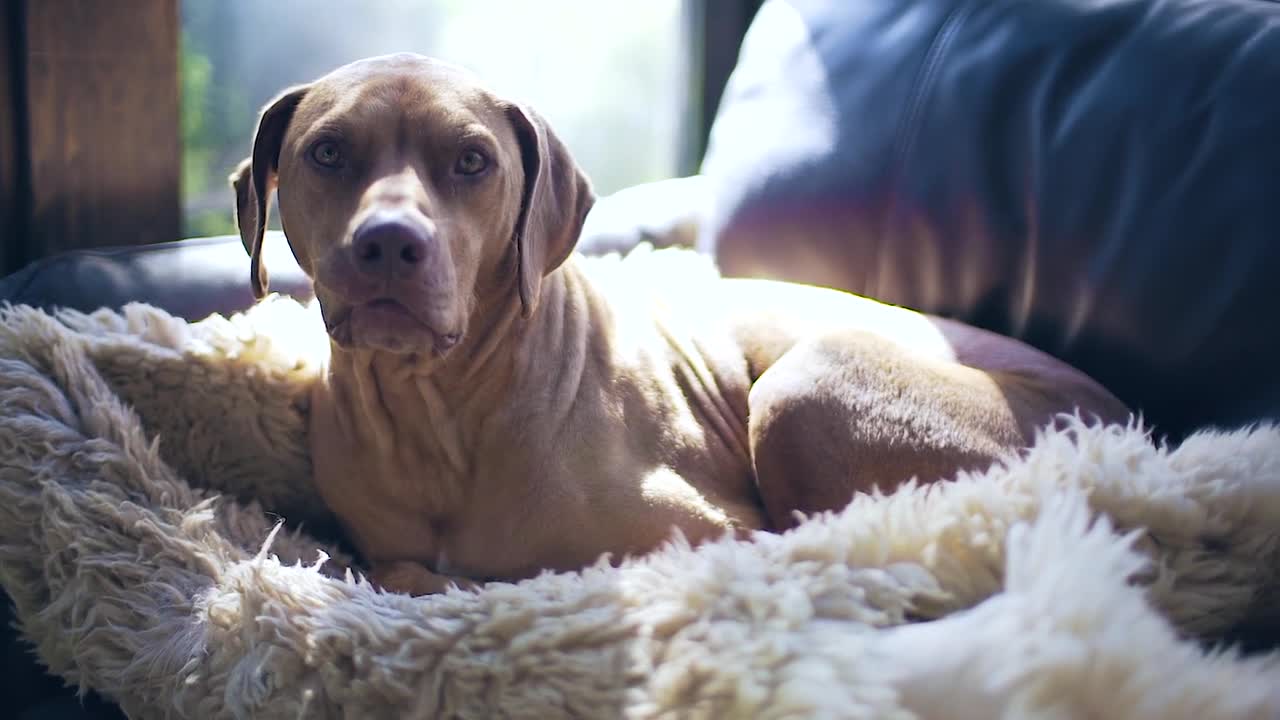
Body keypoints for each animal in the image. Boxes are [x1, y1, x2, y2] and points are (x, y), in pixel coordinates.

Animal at [232, 54, 1131, 594]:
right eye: (327, 152)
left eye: (472, 161)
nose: (389, 243)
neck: (442, 411)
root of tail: (1119, 423)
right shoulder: (389, 553)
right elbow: (403, 571)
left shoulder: (706, 534)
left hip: (806, 386)